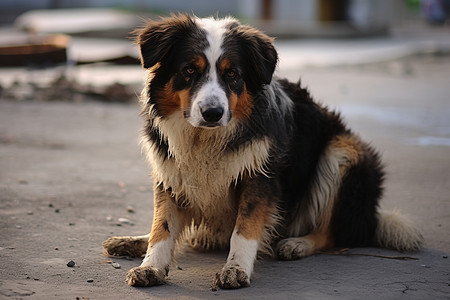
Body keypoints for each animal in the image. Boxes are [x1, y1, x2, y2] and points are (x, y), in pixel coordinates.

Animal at [103, 13, 424, 288]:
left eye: (232, 74)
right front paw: (151, 266)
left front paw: (236, 269)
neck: (205, 138)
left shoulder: (260, 177)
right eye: (189, 71)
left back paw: (298, 243)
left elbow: (244, 229)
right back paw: (135, 240)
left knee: (334, 232)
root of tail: (371, 215)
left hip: (343, 152)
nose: (212, 113)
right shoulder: (171, 173)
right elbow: (163, 226)